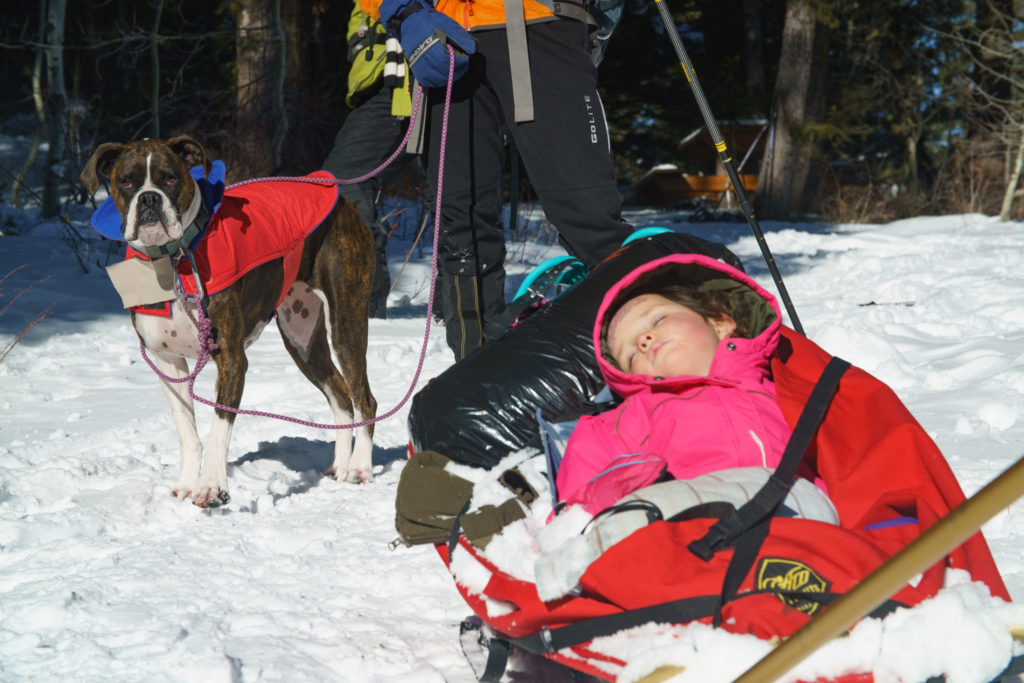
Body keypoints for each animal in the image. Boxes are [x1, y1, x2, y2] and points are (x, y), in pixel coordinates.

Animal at [78, 136, 376, 507]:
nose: (149, 198)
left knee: (363, 398)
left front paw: (210, 487)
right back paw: (340, 464)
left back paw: (360, 468)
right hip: (302, 338)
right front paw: (187, 483)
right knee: (341, 396)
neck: (174, 259)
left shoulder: (231, 360)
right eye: (127, 182)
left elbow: (218, 428)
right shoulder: (168, 362)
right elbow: (187, 432)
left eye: (170, 179)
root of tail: (336, 194)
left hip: (347, 321)